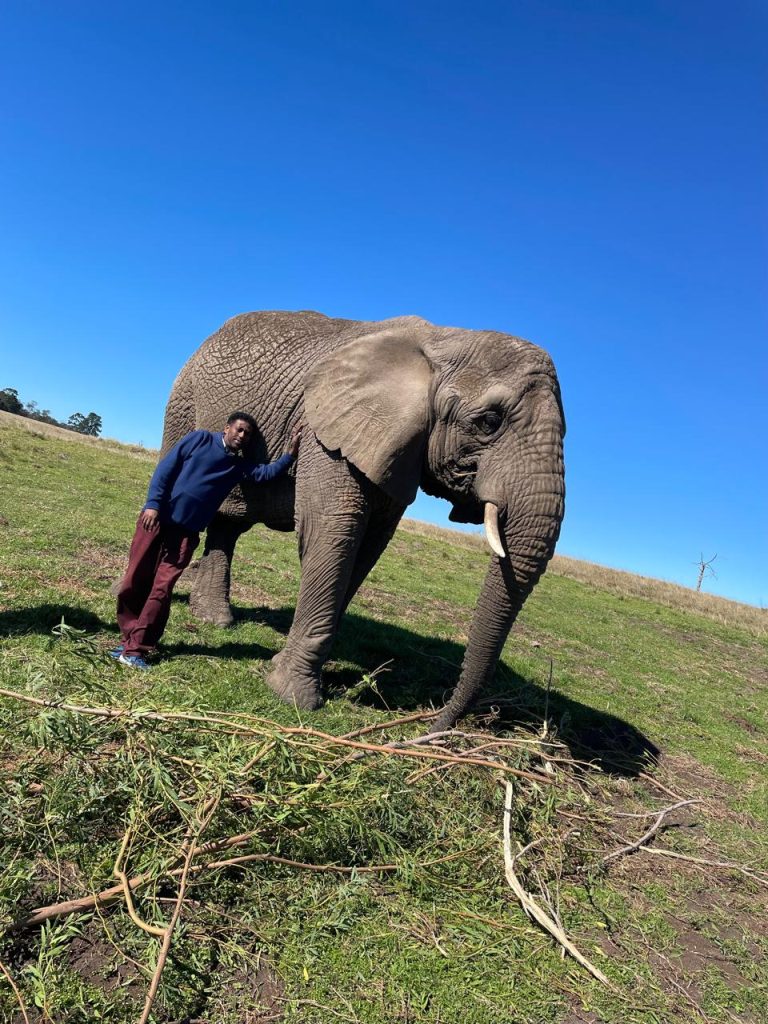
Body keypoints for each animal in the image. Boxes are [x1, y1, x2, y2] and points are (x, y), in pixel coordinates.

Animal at [160, 310, 565, 731]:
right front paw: (292, 697)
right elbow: (335, 531)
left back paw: (214, 621)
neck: (445, 341)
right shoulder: (328, 432)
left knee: (229, 524)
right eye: (489, 421)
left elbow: (370, 546)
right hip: (184, 400)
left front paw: (285, 668)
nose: (433, 725)